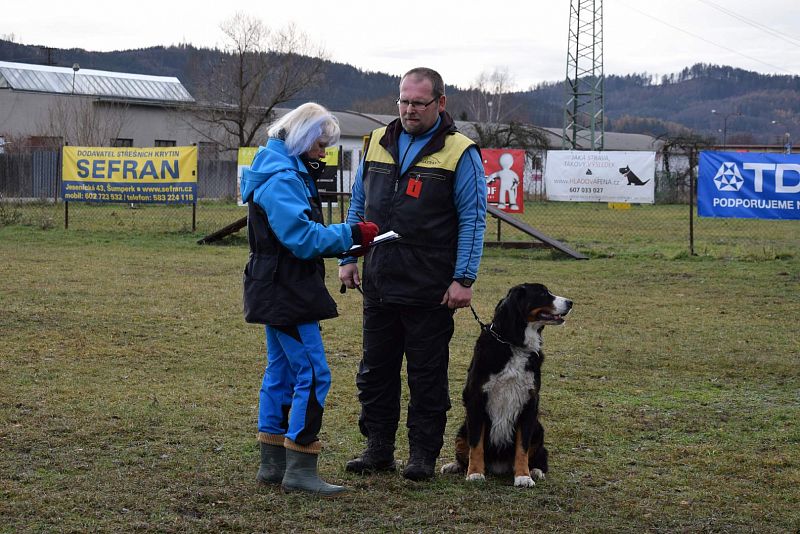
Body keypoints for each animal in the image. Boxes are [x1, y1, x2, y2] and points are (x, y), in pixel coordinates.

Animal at [440, 284, 572, 490]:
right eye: (542, 293)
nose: (570, 302)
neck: (514, 344)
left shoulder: (529, 402)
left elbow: (522, 447)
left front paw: (524, 476)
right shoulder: (476, 400)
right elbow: (476, 444)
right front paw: (475, 473)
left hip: (538, 429)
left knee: (540, 457)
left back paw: (536, 470)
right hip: (463, 429)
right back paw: (454, 466)